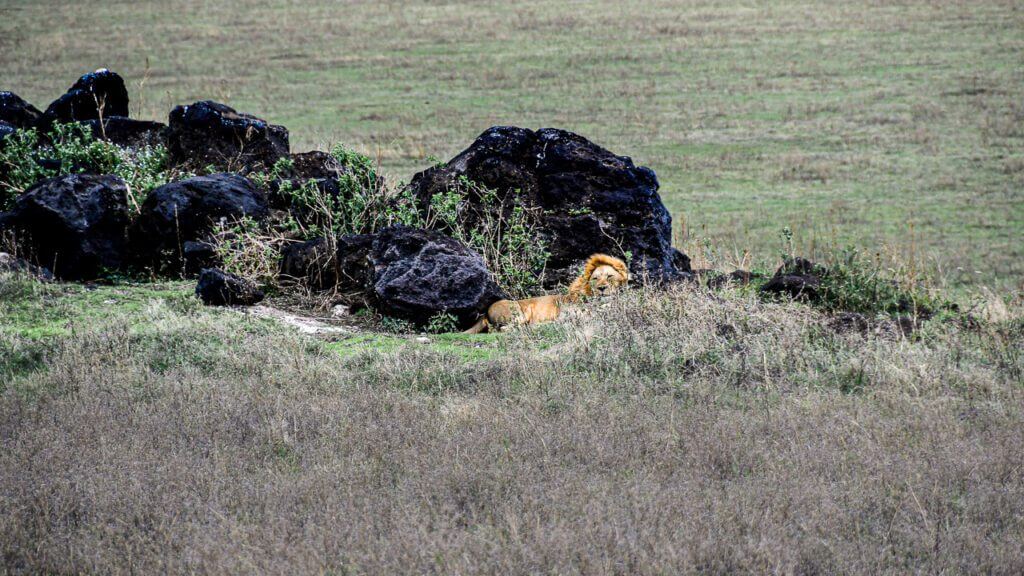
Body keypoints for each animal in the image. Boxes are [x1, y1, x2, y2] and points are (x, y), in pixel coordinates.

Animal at [464, 253, 630, 333]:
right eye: (595, 279)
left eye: (609, 276)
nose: (602, 288)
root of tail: (486, 311)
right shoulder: (566, 314)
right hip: (520, 312)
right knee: (505, 328)